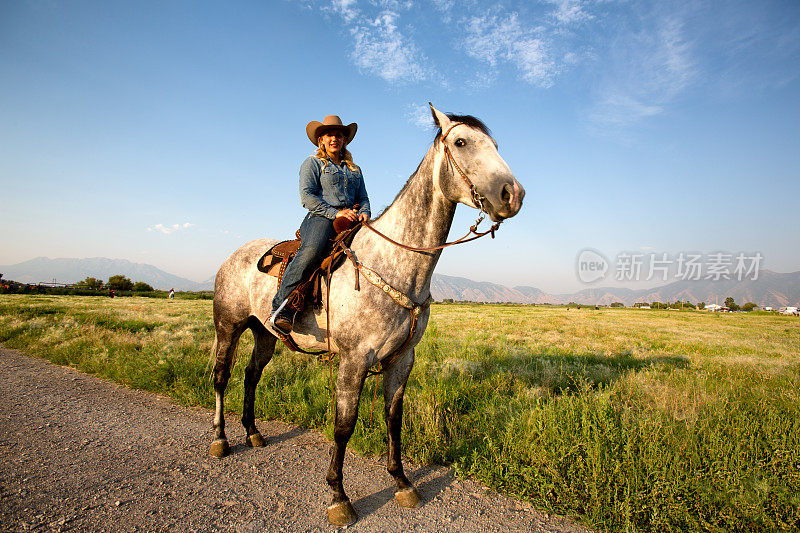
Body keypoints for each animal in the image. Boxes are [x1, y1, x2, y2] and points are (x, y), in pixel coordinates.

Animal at [209, 104, 528, 524]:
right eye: (461, 142)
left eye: (495, 145)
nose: (513, 194)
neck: (395, 264)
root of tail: (234, 255)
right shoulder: (354, 359)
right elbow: (344, 425)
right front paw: (338, 496)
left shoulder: (402, 359)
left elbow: (394, 418)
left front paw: (403, 483)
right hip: (228, 325)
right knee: (222, 376)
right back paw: (220, 439)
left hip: (264, 332)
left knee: (251, 375)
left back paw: (253, 433)